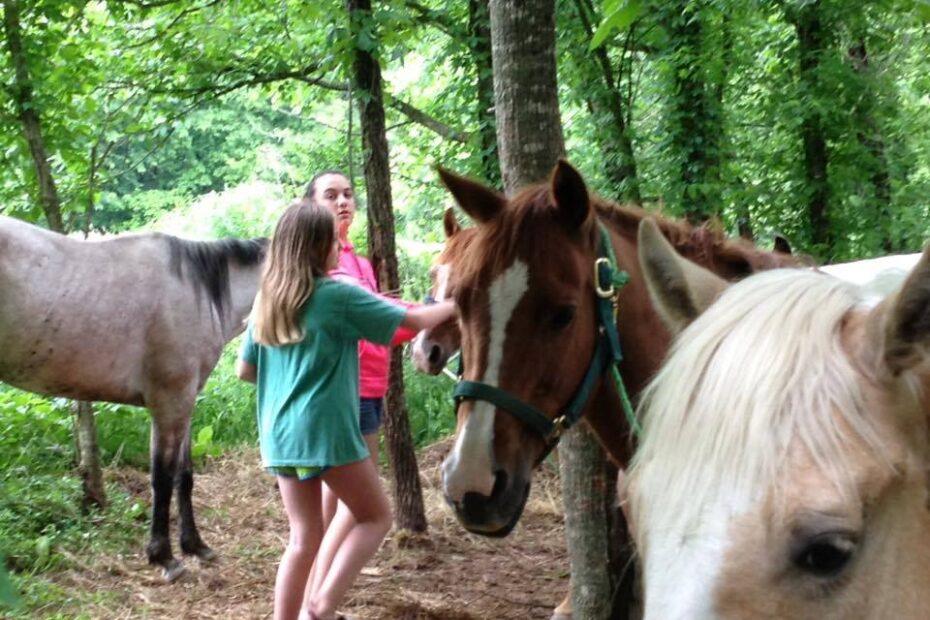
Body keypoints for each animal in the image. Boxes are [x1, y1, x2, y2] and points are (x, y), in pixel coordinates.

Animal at [0, 216, 266, 581]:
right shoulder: (169, 403)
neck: (197, 292)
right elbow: (162, 478)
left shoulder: (184, 404)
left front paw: (195, 546)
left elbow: (184, 476)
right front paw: (164, 557)